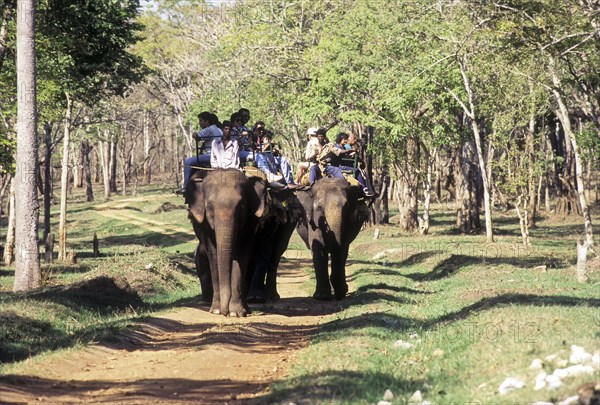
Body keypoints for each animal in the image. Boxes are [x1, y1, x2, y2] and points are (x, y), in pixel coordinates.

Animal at [185, 167, 264, 316]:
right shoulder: (203, 224)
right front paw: (216, 310)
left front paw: (236, 313)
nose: (224, 311)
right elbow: (213, 254)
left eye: (241, 207)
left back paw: (246, 309)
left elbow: (241, 253)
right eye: (209, 207)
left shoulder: (250, 220)